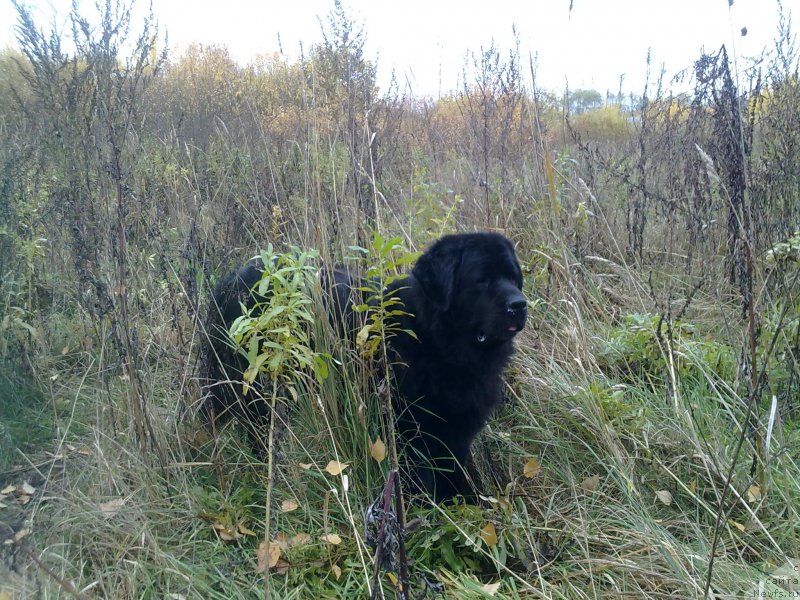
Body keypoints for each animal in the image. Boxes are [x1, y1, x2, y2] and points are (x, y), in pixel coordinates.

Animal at [198, 232, 524, 500]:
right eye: (481, 279)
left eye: (513, 277)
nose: (520, 304)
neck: (433, 337)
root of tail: (229, 281)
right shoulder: (409, 429)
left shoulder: (454, 432)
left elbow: (454, 471)